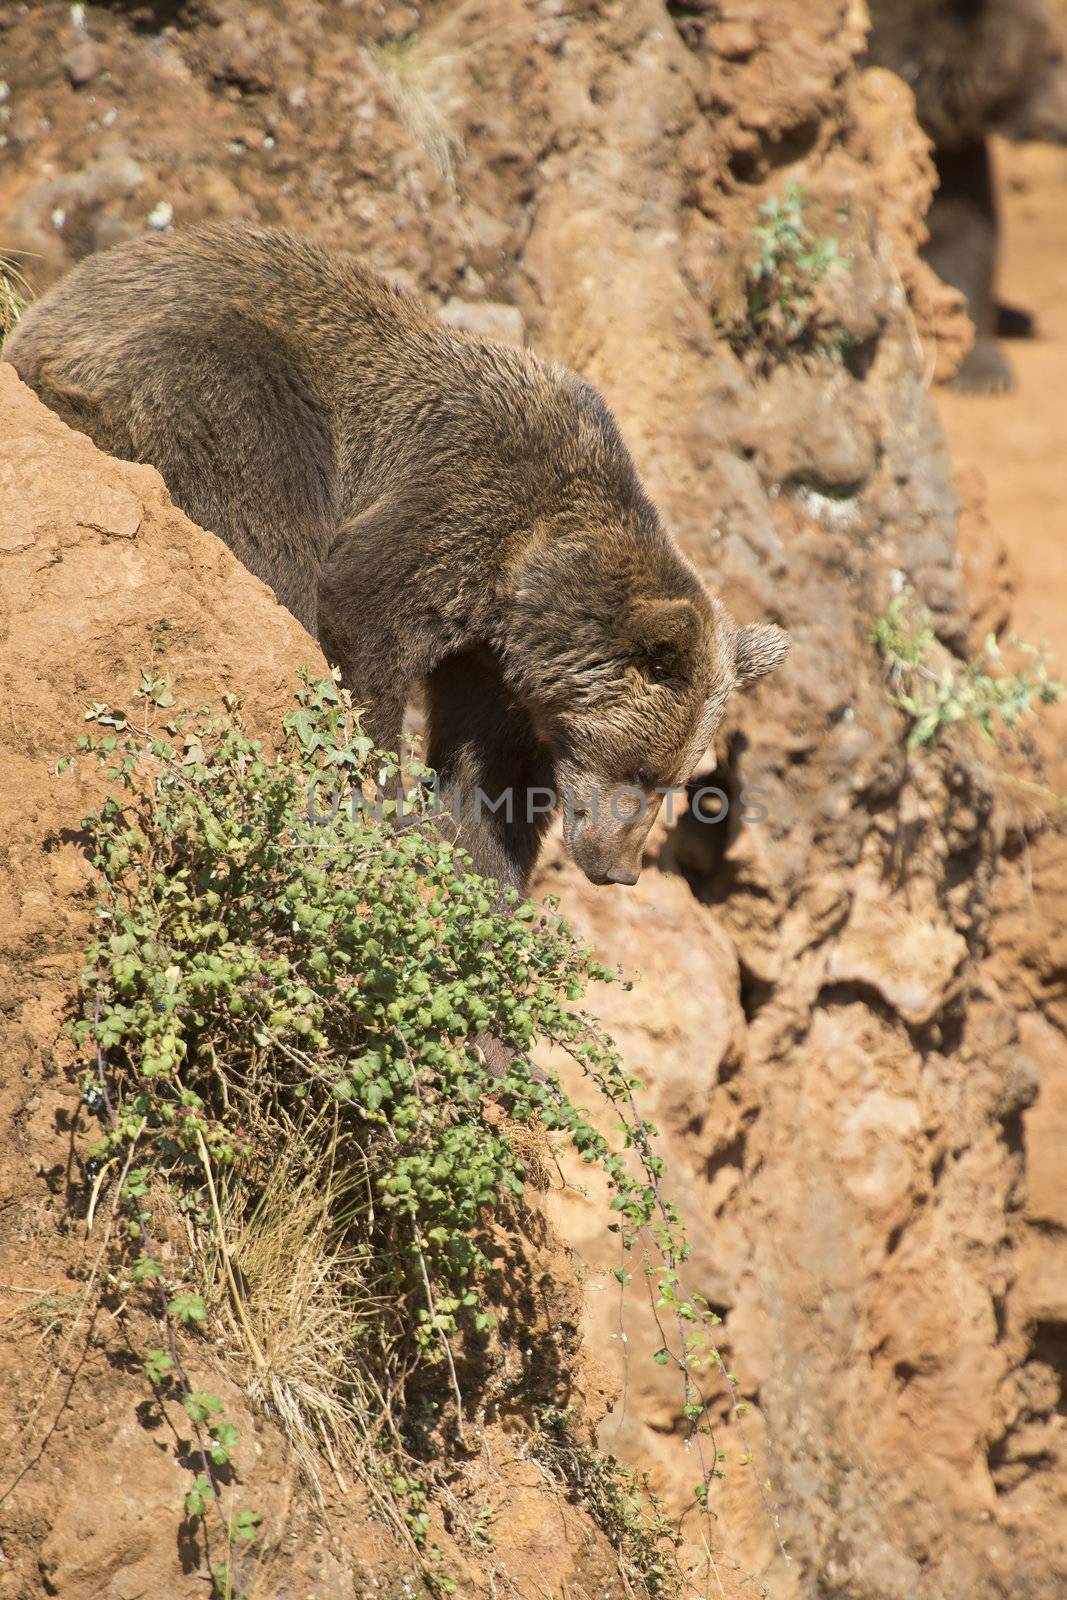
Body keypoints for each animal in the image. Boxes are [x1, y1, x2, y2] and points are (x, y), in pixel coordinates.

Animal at [4, 224, 790, 896]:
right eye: (644, 768)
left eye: (677, 781)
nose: (619, 870)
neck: (528, 580)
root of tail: (47, 310)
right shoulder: (460, 503)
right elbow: (365, 621)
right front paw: (382, 797)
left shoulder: (497, 664)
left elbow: (489, 775)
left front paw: (485, 876)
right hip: (217, 374)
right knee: (259, 506)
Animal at [870, 0, 1067, 393]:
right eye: (1054, 56)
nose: (1065, 125)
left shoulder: (954, 157)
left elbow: (967, 238)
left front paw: (981, 368)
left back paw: (1017, 317)